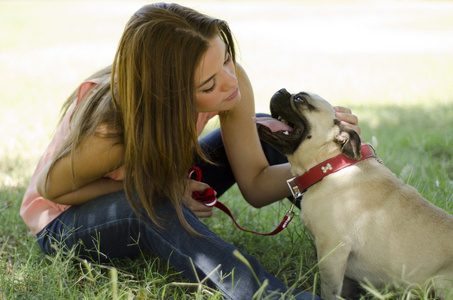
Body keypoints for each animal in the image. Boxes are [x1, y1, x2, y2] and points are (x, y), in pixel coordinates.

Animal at [254, 89, 452, 300]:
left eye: (300, 99)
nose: (280, 91)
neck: (330, 165)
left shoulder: (331, 252)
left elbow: (329, 290)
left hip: (440, 282)